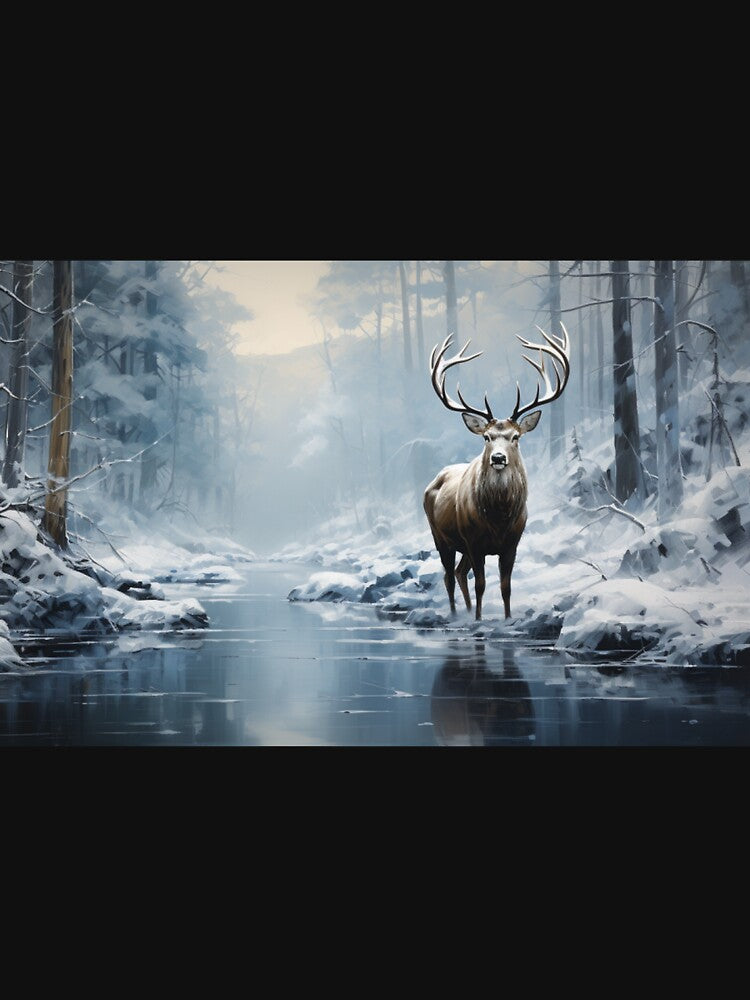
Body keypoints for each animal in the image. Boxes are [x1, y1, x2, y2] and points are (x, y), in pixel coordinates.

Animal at [423, 324, 571, 621]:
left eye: (515, 437)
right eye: (487, 437)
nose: (499, 458)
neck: (498, 518)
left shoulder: (512, 543)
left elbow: (506, 587)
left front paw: (507, 618)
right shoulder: (473, 541)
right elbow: (481, 584)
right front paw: (480, 619)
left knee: (459, 573)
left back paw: (467, 611)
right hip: (440, 536)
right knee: (448, 576)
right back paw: (457, 614)